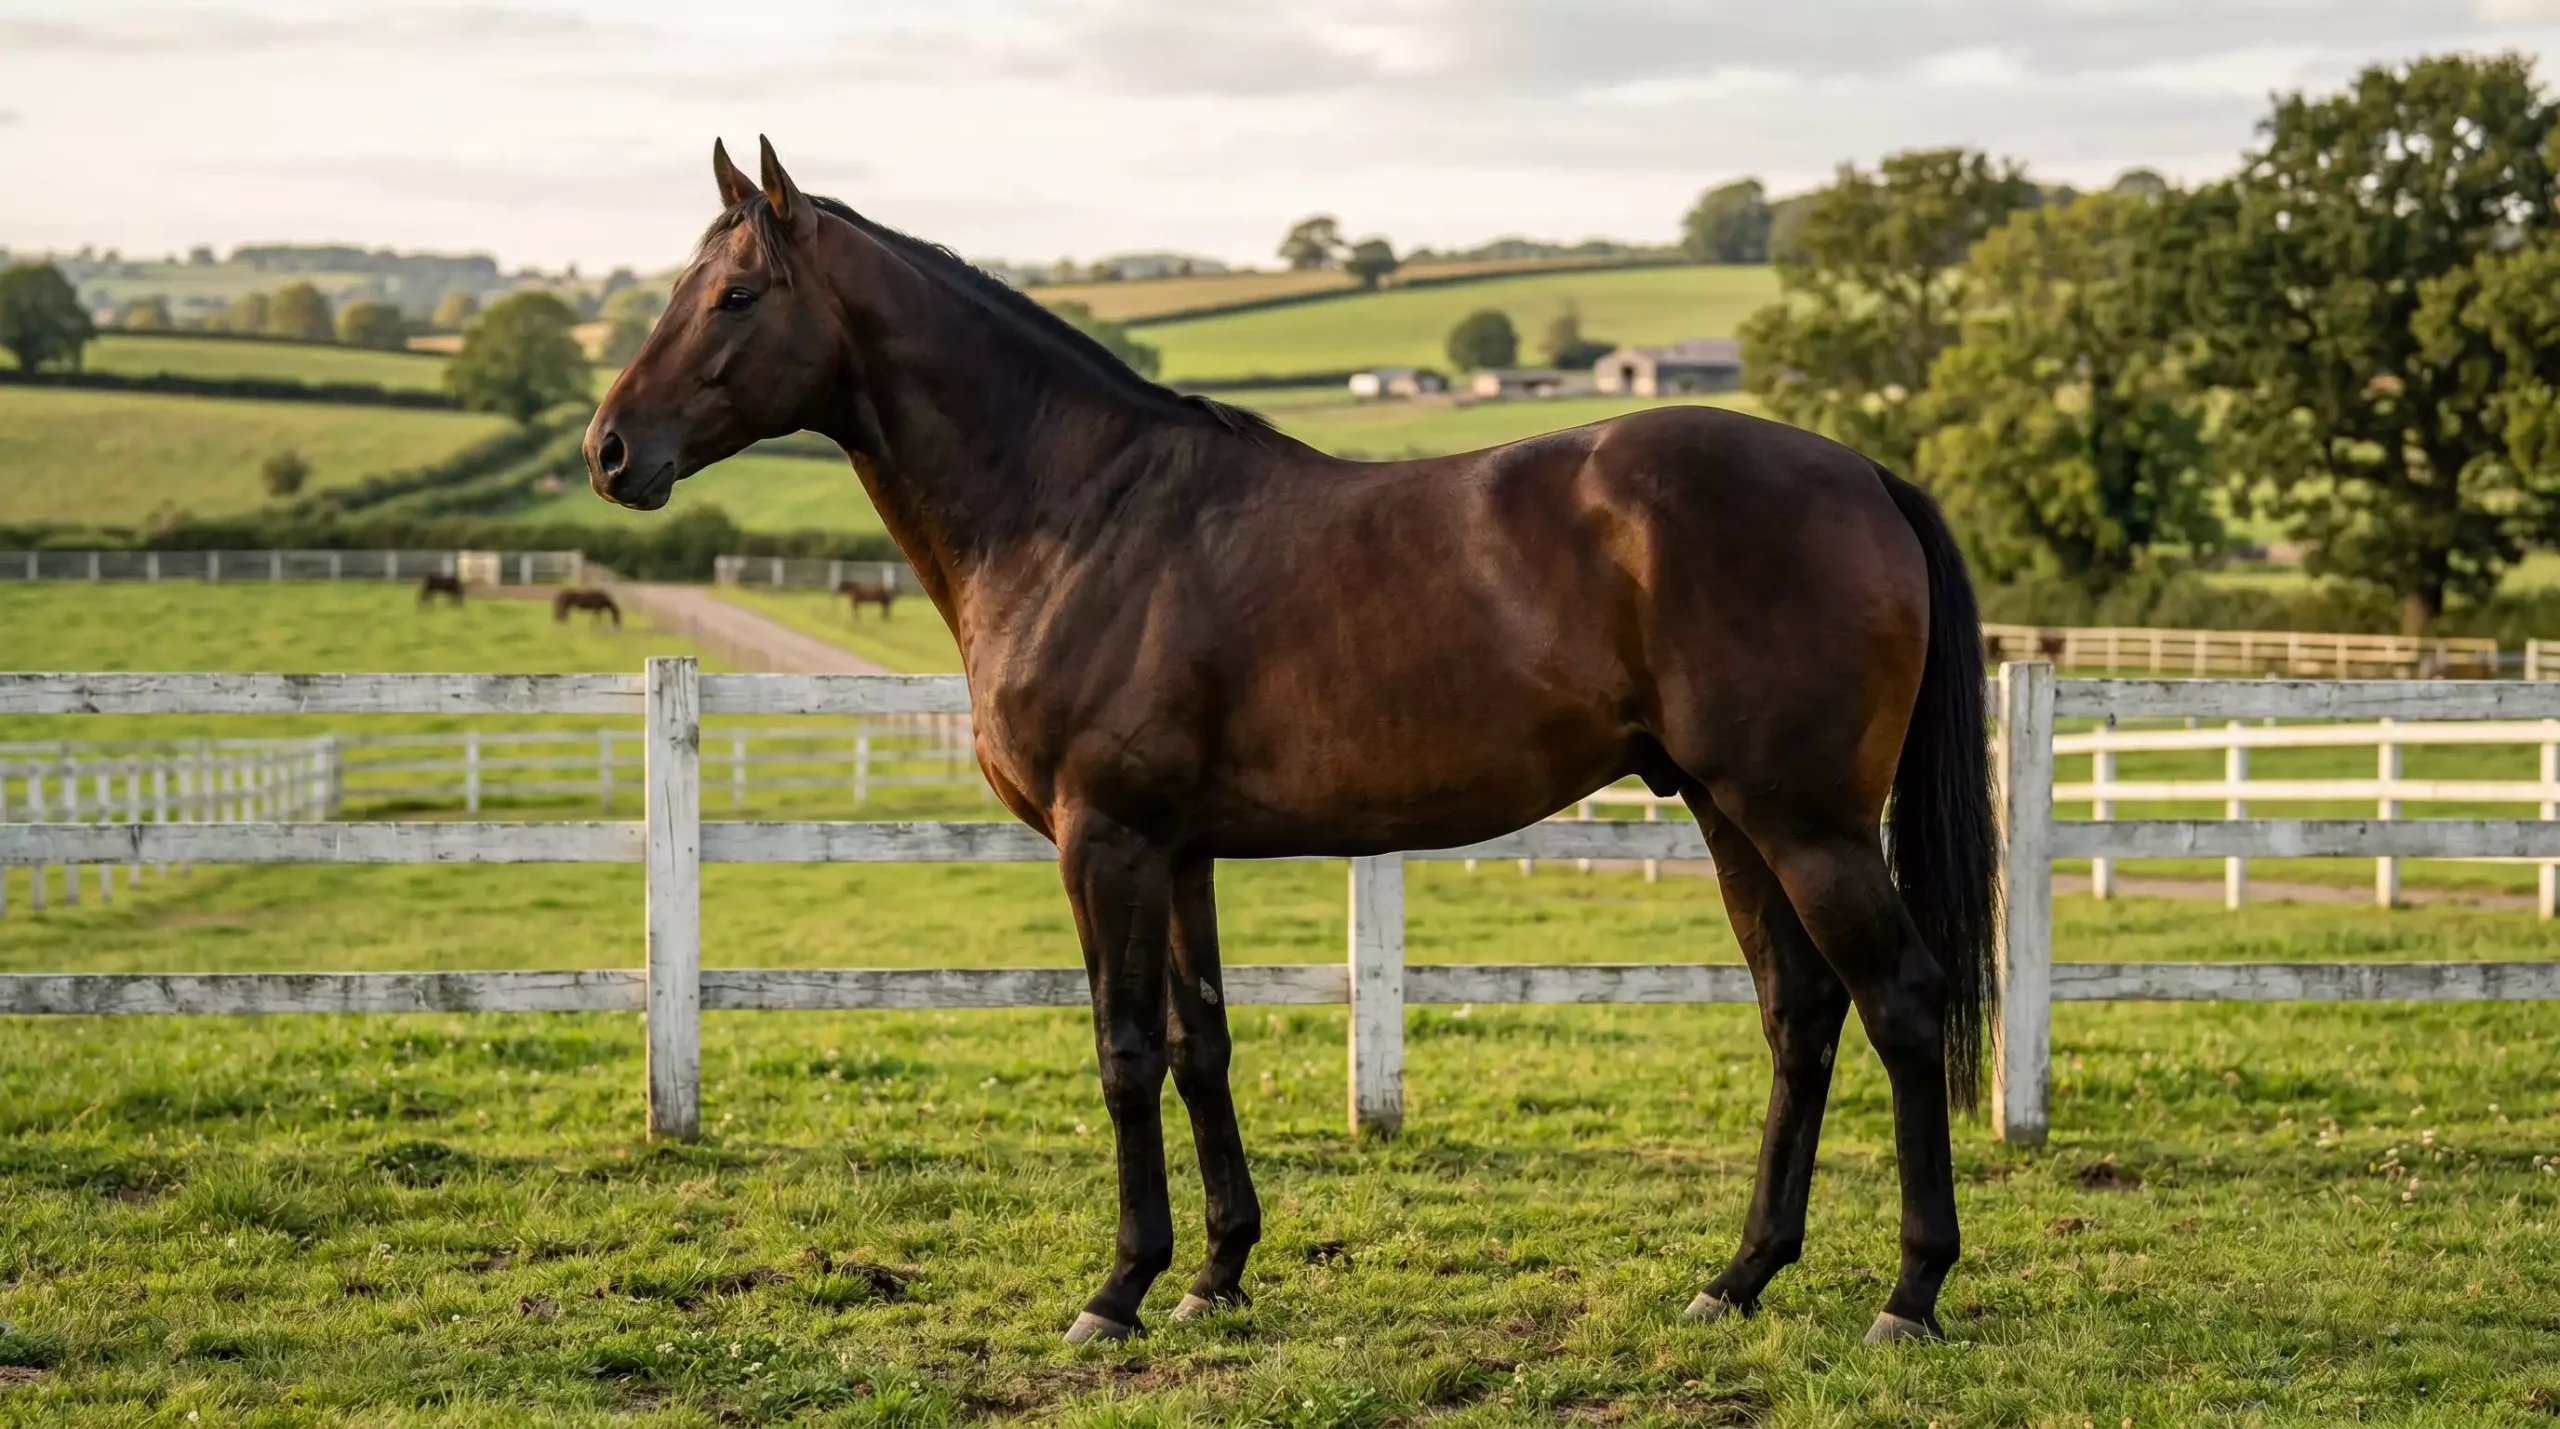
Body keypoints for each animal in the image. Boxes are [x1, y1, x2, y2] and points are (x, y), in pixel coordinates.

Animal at [585, 138, 1998, 1348]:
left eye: (735, 296)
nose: (609, 452)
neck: (1079, 511)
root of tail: (1863, 473)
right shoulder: (1178, 850)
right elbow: (1200, 1045)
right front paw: (1214, 1271)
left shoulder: (1105, 841)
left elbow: (1124, 1052)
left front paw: (1116, 1289)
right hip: (1725, 809)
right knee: (1799, 1013)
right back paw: (1738, 1276)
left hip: (1806, 821)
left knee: (1900, 1001)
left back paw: (1911, 1291)